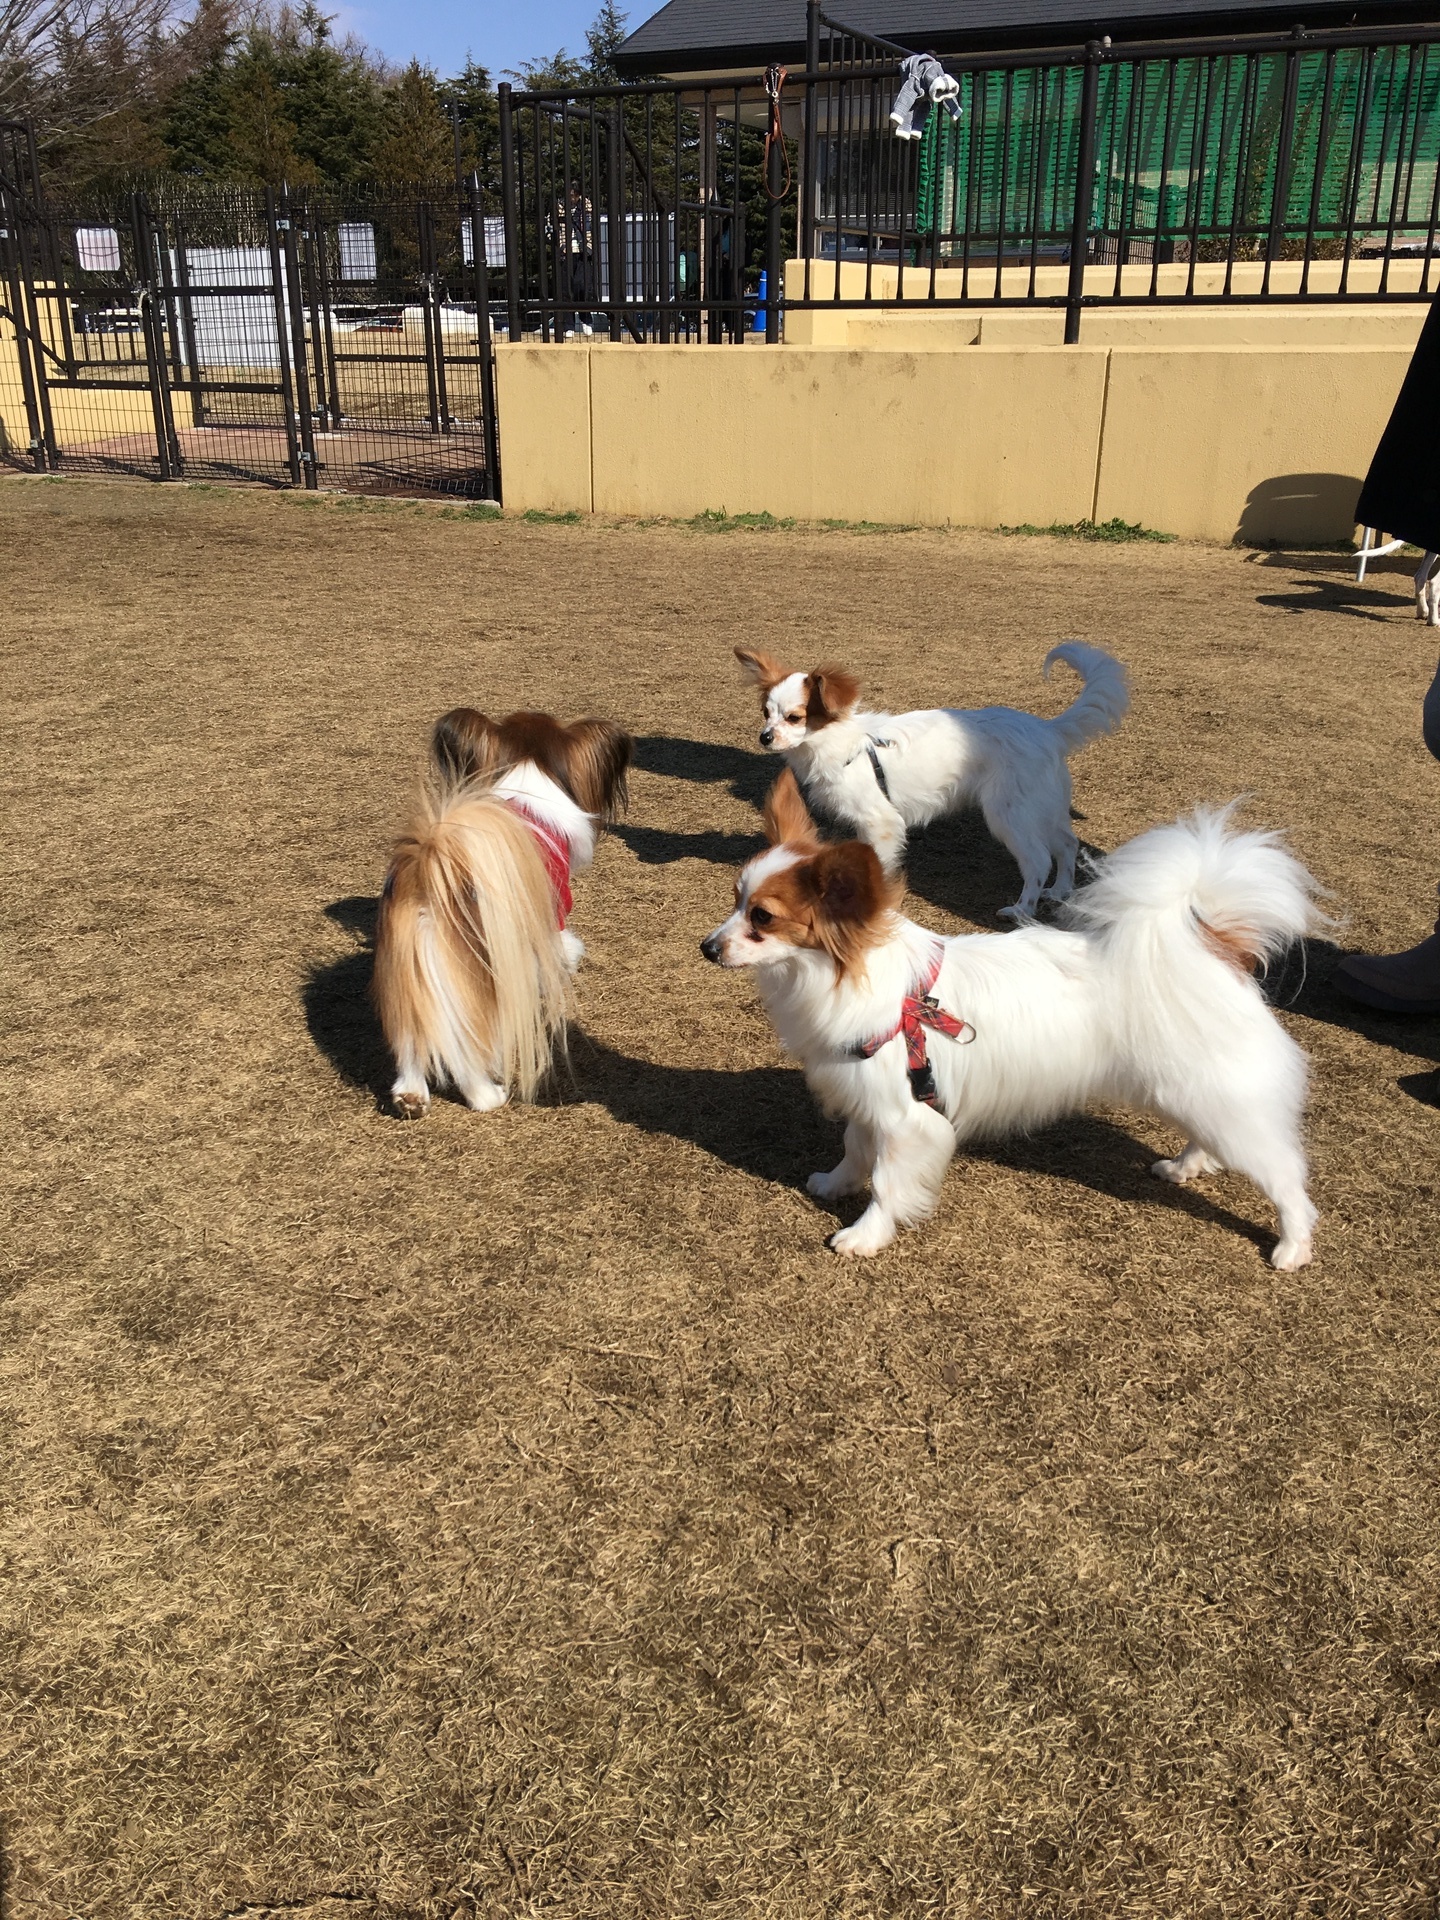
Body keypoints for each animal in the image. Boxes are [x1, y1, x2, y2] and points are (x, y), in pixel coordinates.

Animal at [378, 710, 629, 1121]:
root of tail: (434, 874)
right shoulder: (550, 923)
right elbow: (564, 952)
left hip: (411, 965)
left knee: (414, 1035)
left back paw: (410, 1096)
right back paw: (486, 1094)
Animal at [706, 771, 1328, 1267]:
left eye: (762, 918)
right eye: (735, 900)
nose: (707, 948)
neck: (839, 979)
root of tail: (1216, 950)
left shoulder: (909, 1120)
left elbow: (885, 1183)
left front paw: (865, 1235)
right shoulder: (867, 1097)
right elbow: (855, 1151)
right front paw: (834, 1184)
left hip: (1221, 1099)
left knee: (1286, 1177)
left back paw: (1292, 1246)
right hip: (1191, 1091)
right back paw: (1186, 1167)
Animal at [737, 641, 1136, 917]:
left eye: (795, 717)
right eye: (766, 713)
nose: (764, 737)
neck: (843, 743)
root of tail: (1047, 729)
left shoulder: (881, 823)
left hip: (1009, 816)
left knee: (1038, 861)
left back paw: (1022, 910)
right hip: (1042, 809)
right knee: (1068, 845)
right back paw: (1061, 891)